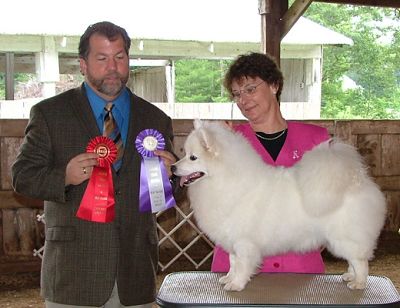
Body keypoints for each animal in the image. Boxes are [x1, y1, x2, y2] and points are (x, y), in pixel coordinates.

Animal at [172, 119, 388, 292]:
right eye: (186, 154)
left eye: (193, 157)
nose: (173, 167)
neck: (226, 179)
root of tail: (357, 180)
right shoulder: (232, 240)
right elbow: (233, 264)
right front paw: (228, 278)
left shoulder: (244, 242)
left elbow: (242, 266)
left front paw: (236, 285)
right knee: (353, 260)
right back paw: (350, 276)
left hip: (345, 238)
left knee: (360, 261)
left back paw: (359, 282)